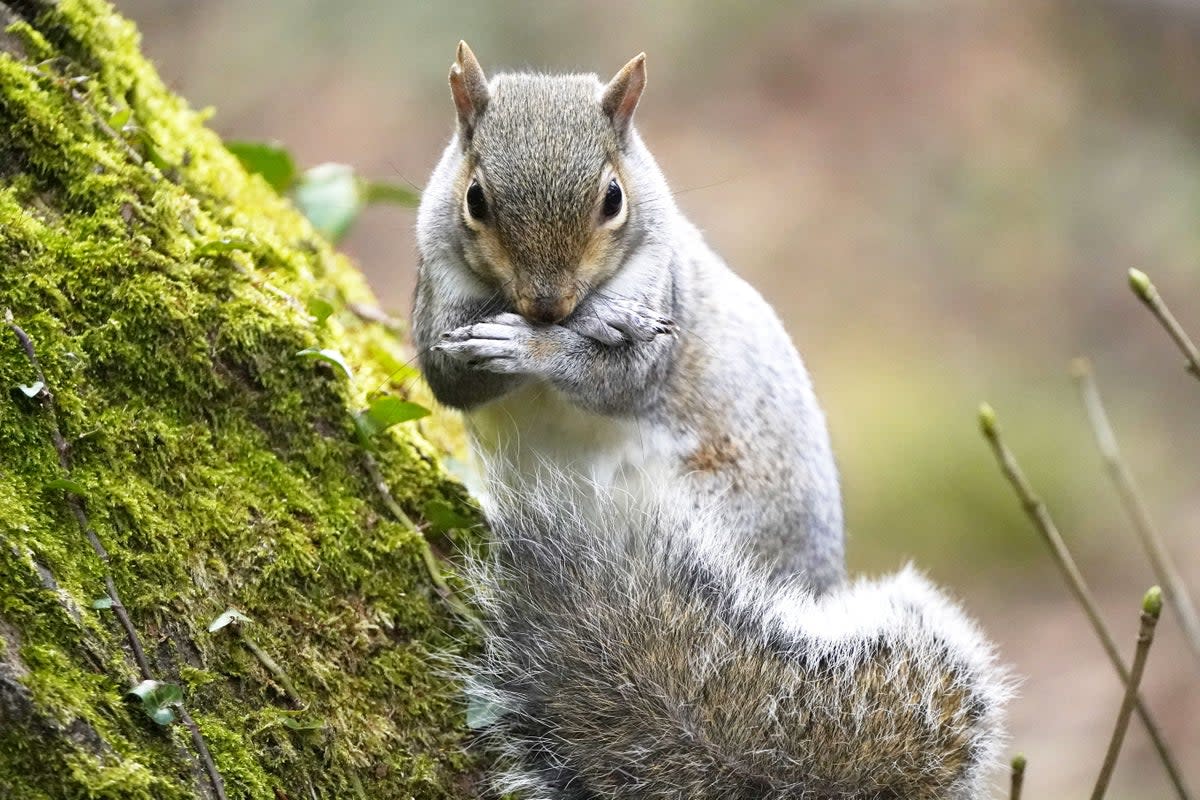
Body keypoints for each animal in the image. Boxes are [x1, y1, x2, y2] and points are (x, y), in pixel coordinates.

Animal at [417, 42, 1008, 800]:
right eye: (475, 200)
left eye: (613, 199)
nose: (549, 305)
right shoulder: (435, 296)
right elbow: (448, 376)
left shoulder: (663, 299)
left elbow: (622, 377)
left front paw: (567, 334)